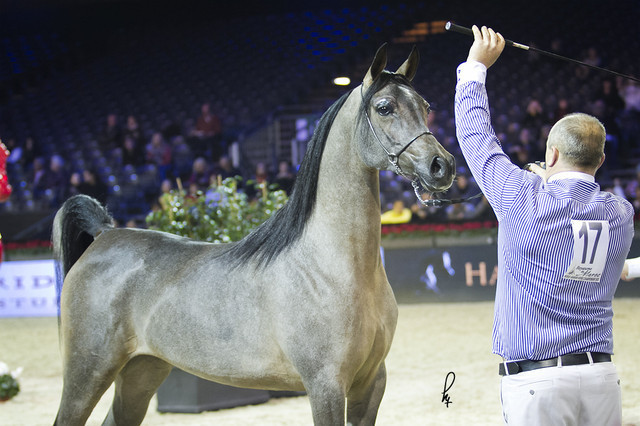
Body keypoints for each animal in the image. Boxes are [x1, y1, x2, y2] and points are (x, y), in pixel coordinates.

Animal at [52, 44, 455, 425]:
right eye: (384, 107)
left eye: (425, 106)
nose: (442, 166)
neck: (330, 267)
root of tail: (104, 234)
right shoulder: (325, 385)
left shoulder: (371, 383)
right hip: (88, 370)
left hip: (143, 370)